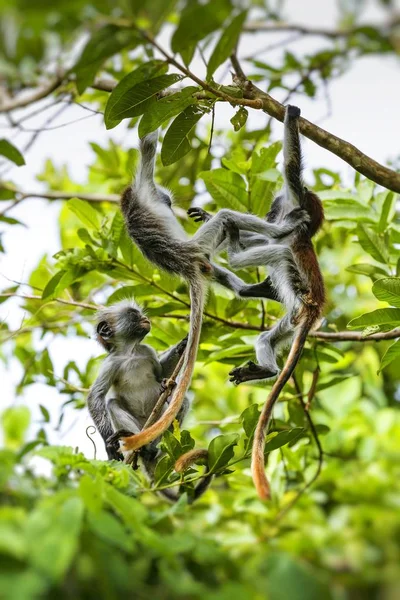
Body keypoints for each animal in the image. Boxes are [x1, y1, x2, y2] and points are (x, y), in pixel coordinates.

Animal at [117, 130, 308, 454]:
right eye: (165, 199)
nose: (168, 199)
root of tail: (186, 266)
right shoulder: (144, 187)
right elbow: (147, 146)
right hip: (200, 245)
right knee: (226, 217)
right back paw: (282, 230)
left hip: (201, 255)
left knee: (216, 263)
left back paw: (249, 287)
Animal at [189, 105, 324, 500]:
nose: (268, 216)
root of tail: (313, 308)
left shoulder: (295, 205)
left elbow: (291, 169)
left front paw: (292, 113)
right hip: (290, 323)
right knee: (267, 336)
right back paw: (266, 368)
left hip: (295, 310)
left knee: (272, 255)